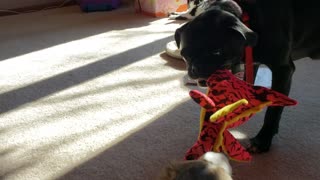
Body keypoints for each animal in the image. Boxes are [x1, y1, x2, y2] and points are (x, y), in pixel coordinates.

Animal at [175, 0, 320, 152]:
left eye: (217, 52)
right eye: (184, 55)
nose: (195, 69)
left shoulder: (283, 70)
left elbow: (273, 111)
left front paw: (263, 140)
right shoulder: (252, 63)